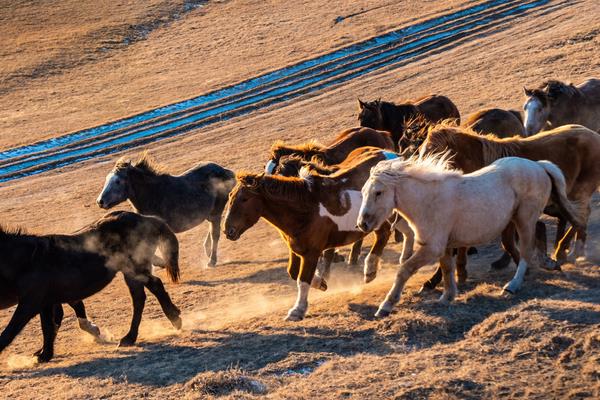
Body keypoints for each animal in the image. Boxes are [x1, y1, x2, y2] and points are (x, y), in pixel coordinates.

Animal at [0, 212, 183, 362]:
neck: (29, 259)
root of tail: (146, 219)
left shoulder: (31, 302)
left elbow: (10, 332)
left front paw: (44, 356)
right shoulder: (46, 301)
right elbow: (50, 325)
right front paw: (45, 353)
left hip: (134, 269)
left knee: (153, 288)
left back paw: (169, 321)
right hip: (131, 273)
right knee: (141, 298)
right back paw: (132, 336)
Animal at [96, 152, 234, 268]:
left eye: (118, 181)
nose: (100, 201)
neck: (154, 194)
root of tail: (225, 171)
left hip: (216, 212)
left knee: (215, 234)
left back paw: (211, 261)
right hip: (210, 214)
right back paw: (207, 250)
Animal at [225, 150, 404, 322]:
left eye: (244, 199)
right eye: (230, 196)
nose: (228, 230)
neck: (304, 209)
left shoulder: (312, 252)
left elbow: (303, 280)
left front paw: (297, 310)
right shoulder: (296, 249)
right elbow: (293, 272)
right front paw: (321, 283)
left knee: (385, 234)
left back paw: (370, 270)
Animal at [358, 155, 584, 318]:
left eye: (378, 192)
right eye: (363, 191)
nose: (362, 224)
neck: (428, 201)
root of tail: (539, 166)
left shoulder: (432, 248)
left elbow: (404, 270)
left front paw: (386, 306)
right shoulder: (445, 246)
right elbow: (447, 269)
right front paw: (447, 296)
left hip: (524, 219)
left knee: (526, 251)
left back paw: (512, 286)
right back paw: (549, 263)